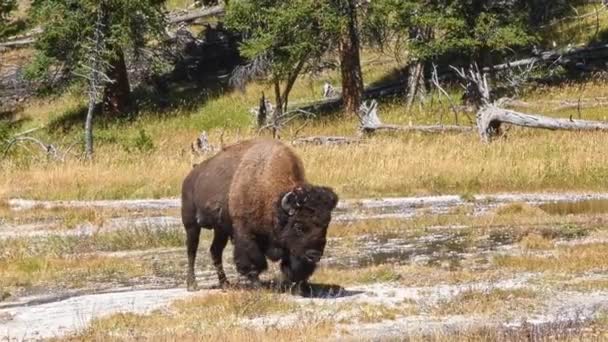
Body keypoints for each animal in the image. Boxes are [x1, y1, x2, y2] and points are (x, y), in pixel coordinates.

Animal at [183, 138, 340, 292]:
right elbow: (253, 262)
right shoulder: (246, 234)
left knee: (215, 251)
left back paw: (225, 284)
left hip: (220, 229)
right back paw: (192, 285)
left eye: (326, 225)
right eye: (298, 226)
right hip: (191, 224)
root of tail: (190, 177)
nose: (314, 255)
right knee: (192, 251)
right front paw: (258, 286)